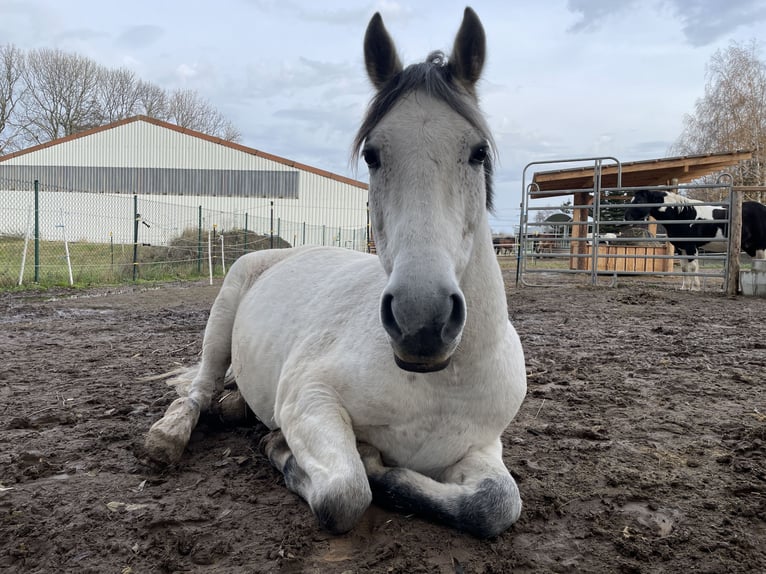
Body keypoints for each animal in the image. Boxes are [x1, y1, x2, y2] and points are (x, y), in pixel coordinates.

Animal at [144, 7, 528, 540]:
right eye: (372, 154)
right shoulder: (310, 401)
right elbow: (345, 495)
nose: (421, 321)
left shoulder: (482, 447)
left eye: (478, 152)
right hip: (222, 317)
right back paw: (169, 435)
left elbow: (495, 504)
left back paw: (235, 406)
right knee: (199, 389)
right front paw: (281, 447)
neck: (438, 385)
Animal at [628, 190, 766, 290]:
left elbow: (693, 267)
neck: (681, 215)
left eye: (639, 200)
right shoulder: (681, 248)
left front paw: (695, 287)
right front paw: (685, 287)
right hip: (750, 247)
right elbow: (684, 268)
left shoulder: (691, 247)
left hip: (760, 247)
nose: (626, 217)